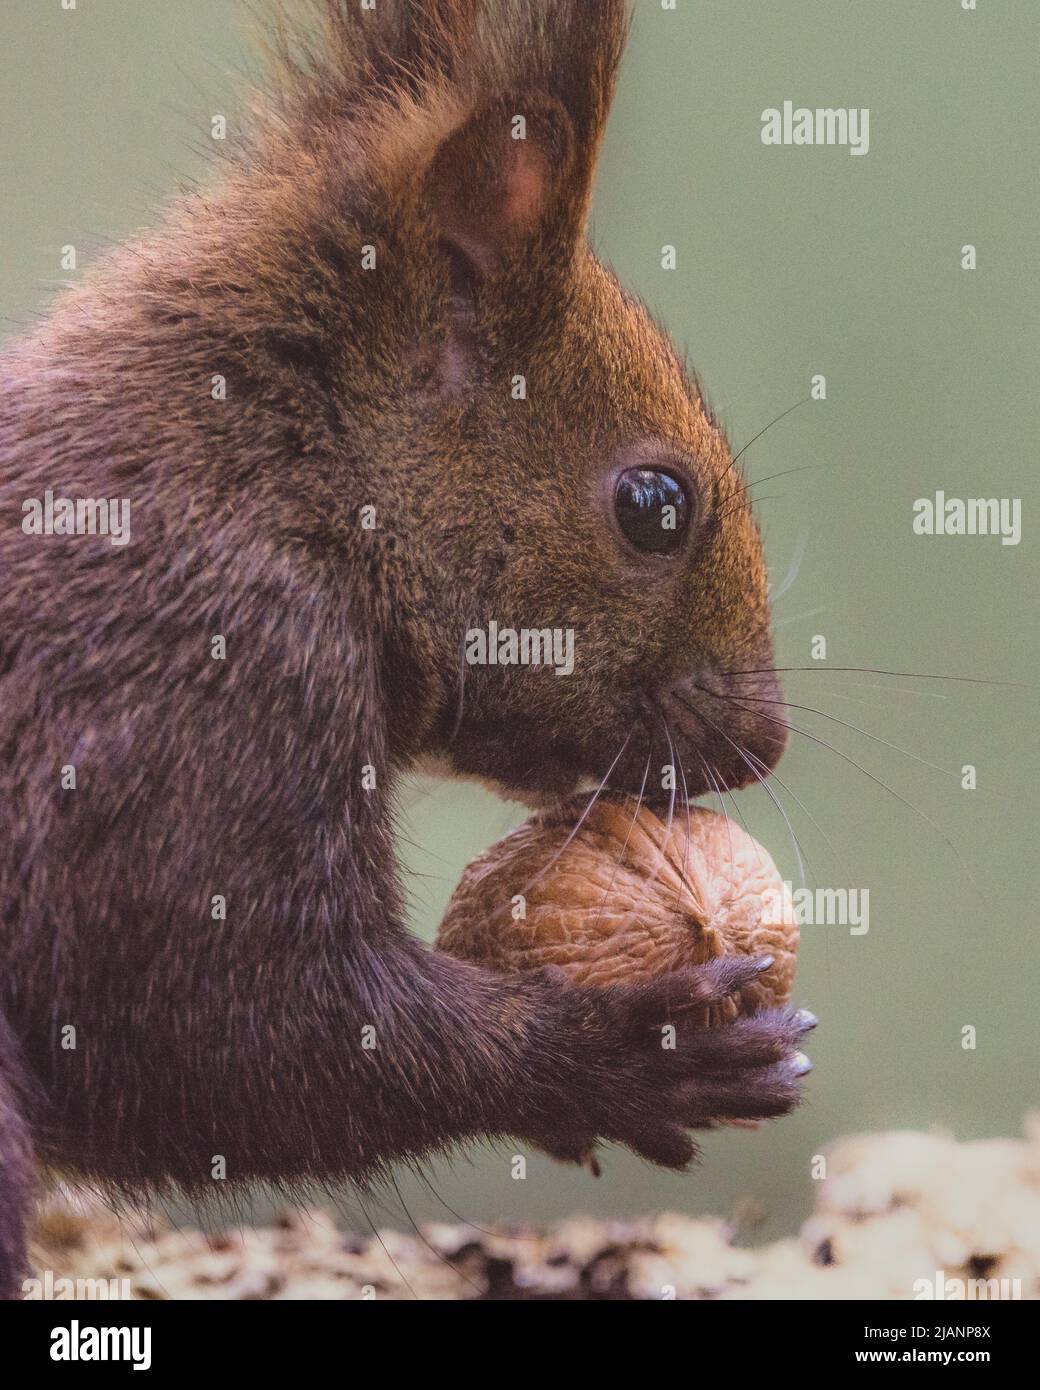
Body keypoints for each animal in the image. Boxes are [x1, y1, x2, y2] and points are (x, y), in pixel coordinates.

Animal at [0, 2, 811, 1301]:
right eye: (654, 505)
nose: (763, 743)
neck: (291, 471)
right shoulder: (195, 673)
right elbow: (198, 1030)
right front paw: (619, 1058)